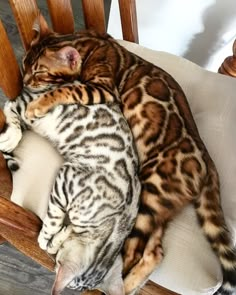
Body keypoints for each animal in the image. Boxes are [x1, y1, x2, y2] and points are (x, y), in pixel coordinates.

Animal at [22, 15, 236, 295]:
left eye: (39, 72)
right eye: (24, 64)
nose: (24, 82)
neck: (87, 42)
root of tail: (209, 163)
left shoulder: (102, 89)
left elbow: (66, 90)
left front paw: (37, 105)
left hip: (151, 193)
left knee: (132, 252)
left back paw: (118, 283)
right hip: (159, 207)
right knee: (155, 252)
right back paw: (130, 283)